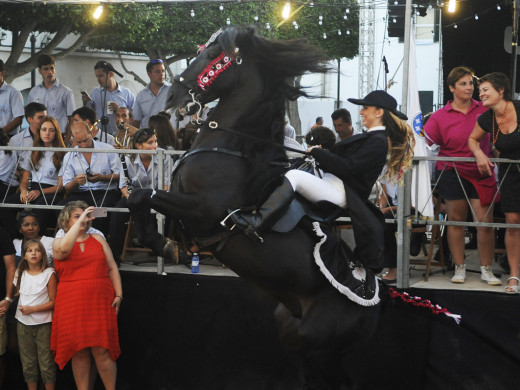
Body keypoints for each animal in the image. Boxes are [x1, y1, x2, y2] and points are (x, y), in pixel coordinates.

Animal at [129, 26, 382, 386]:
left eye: (211, 56)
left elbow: (142, 197)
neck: (233, 149)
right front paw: (164, 244)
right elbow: (137, 197)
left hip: (320, 347)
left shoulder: (201, 210)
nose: (173, 97)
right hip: (297, 335)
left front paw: (164, 245)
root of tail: (374, 306)